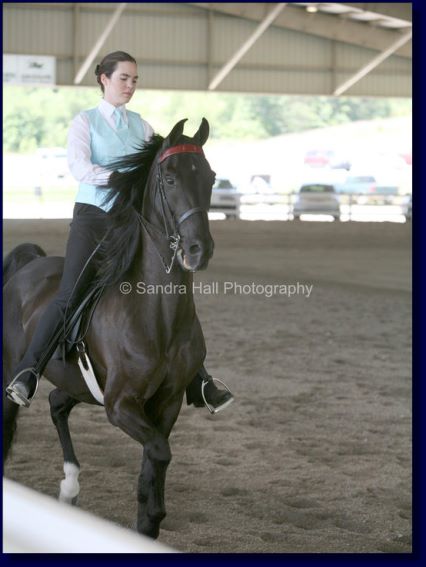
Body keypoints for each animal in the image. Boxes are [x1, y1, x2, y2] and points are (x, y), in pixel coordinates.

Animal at [2, 117, 216, 540]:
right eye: (169, 178)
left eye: (211, 177)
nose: (199, 249)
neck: (157, 316)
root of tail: (28, 265)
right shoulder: (120, 405)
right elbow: (159, 453)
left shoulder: (166, 404)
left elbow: (154, 461)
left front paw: (147, 521)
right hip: (10, 373)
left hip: (76, 382)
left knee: (57, 403)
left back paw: (70, 486)